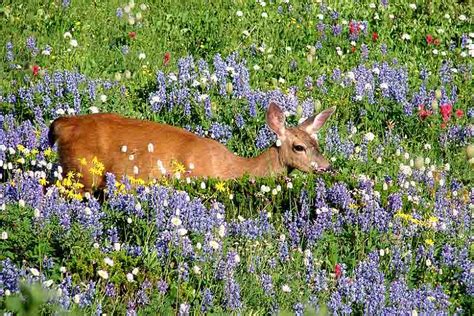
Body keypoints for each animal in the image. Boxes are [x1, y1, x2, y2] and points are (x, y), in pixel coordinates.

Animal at [48, 101, 336, 191]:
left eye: (316, 142)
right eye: (298, 147)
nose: (326, 166)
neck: (233, 167)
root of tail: (61, 125)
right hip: (81, 174)